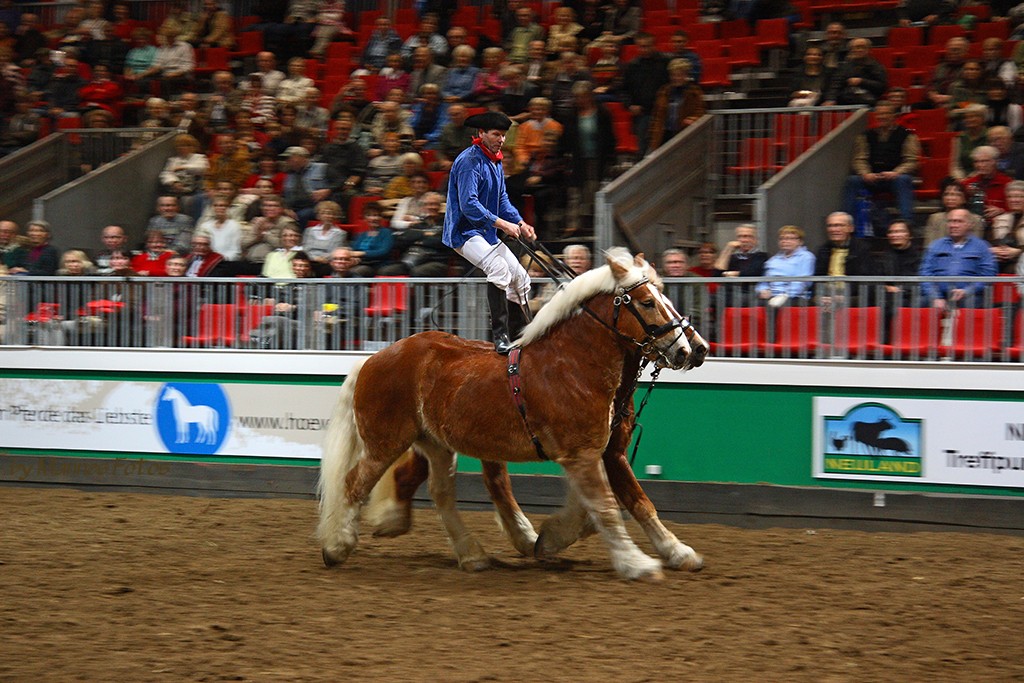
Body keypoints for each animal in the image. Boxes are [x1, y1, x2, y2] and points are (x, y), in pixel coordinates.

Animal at [317, 249, 709, 581]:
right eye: (647, 302)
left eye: (668, 300)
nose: (692, 349)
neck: (575, 363)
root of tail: (372, 359)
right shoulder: (583, 454)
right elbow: (606, 507)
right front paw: (636, 563)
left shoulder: (607, 452)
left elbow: (636, 502)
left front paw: (677, 552)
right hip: (385, 442)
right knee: (354, 484)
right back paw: (337, 546)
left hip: (437, 444)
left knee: (443, 493)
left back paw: (471, 553)